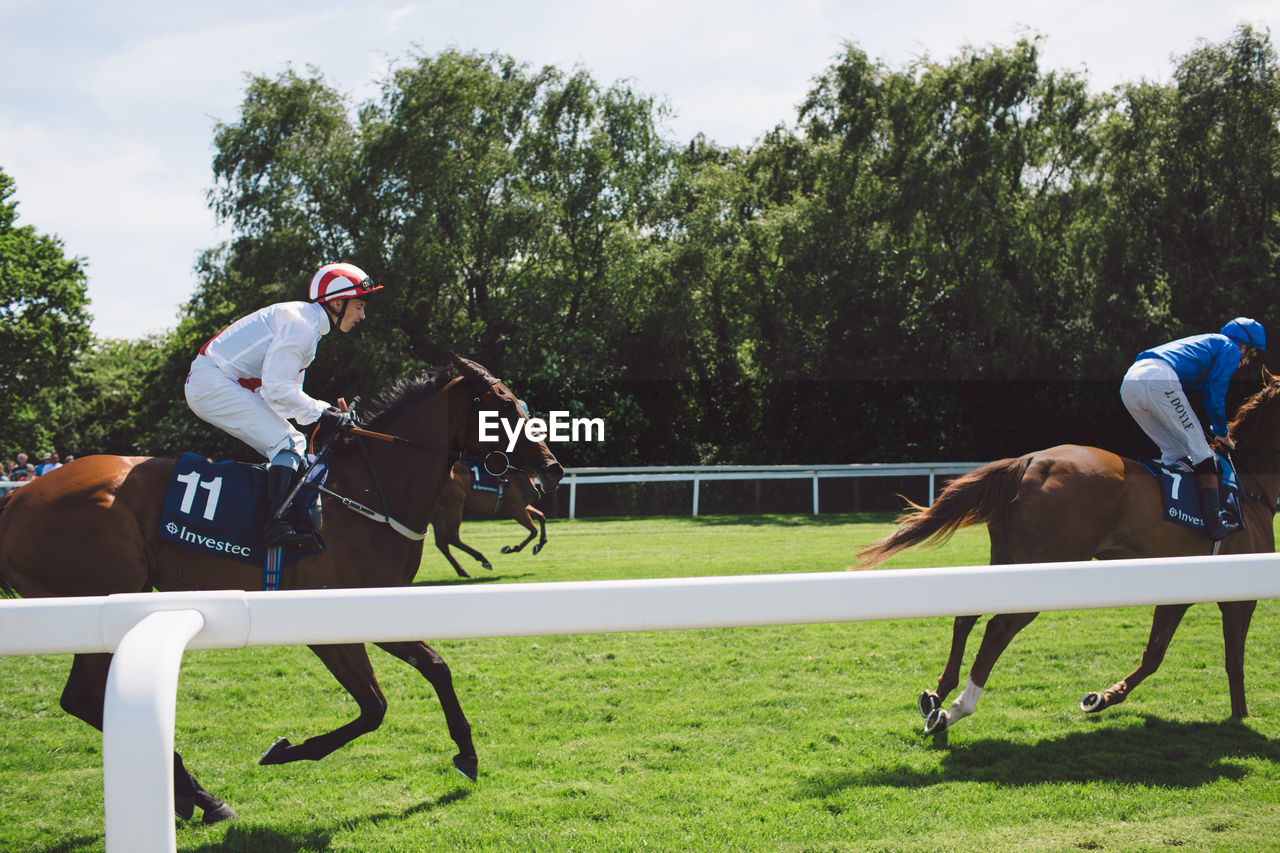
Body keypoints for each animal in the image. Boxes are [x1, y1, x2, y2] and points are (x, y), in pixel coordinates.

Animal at [0, 350, 563, 819]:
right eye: (503, 406)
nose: (553, 469)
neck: (364, 495)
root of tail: (18, 497)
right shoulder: (329, 625)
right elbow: (375, 707)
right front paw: (286, 750)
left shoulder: (381, 611)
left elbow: (436, 668)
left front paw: (467, 753)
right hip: (104, 602)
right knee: (82, 697)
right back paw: (200, 796)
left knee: (82, 698)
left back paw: (196, 796)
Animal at [855, 366, 1280, 732]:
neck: (1249, 487)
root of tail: (1026, 461)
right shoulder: (1240, 596)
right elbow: (1234, 659)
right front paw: (1242, 716)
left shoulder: (1179, 588)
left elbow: (1154, 654)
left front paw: (1102, 698)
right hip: (1047, 563)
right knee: (999, 627)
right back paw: (958, 708)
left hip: (1007, 556)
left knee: (968, 614)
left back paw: (937, 696)